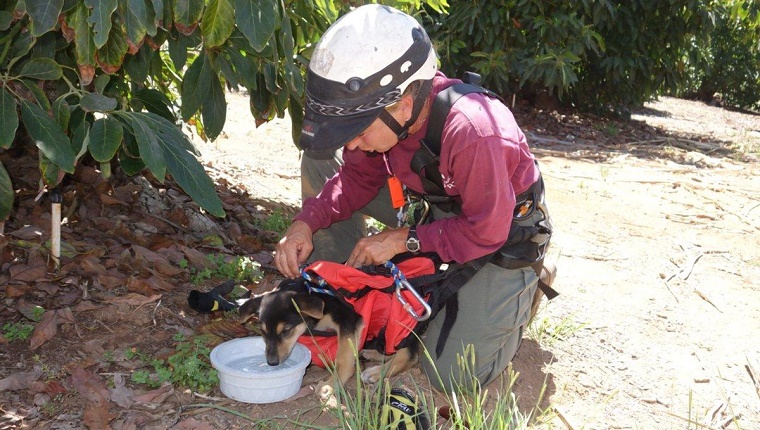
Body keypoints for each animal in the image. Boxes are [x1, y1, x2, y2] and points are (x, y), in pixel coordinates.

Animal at [239, 278, 422, 398]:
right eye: (263, 332)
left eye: (286, 331)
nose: (271, 363)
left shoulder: (349, 319)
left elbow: (343, 358)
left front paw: (331, 384)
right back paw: (371, 353)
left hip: (398, 327)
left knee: (410, 355)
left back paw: (376, 371)